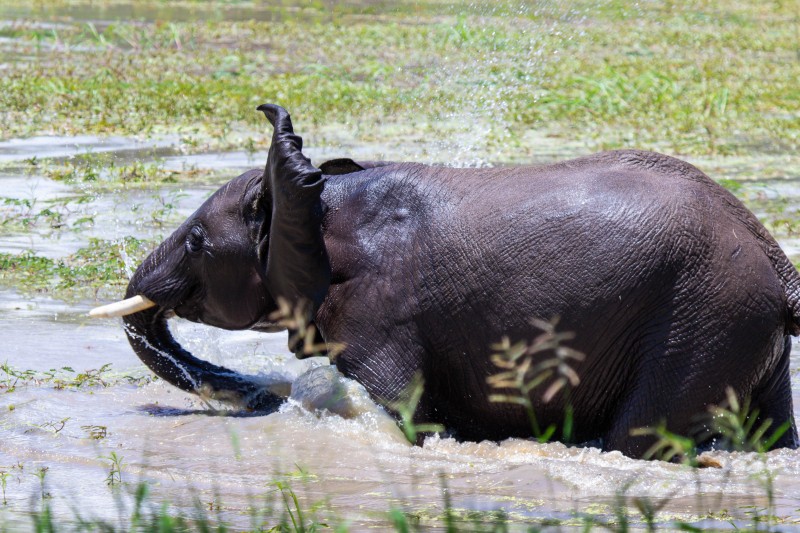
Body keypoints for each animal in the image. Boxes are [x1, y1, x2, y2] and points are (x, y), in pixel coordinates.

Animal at [95, 103, 800, 458]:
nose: (259, 398)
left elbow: (401, 411)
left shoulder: (382, 309)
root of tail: (775, 259)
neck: (327, 200)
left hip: (702, 318)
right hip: (735, 325)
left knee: (641, 434)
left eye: (196, 241)